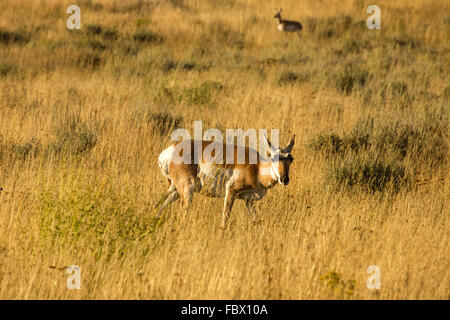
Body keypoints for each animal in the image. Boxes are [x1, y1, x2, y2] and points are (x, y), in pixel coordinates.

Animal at [156, 134, 298, 228]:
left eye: (291, 159)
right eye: (274, 157)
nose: (284, 179)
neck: (257, 167)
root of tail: (170, 150)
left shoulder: (249, 200)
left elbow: (255, 219)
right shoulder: (231, 192)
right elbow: (225, 218)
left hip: (174, 190)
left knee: (159, 205)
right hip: (187, 191)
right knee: (182, 214)